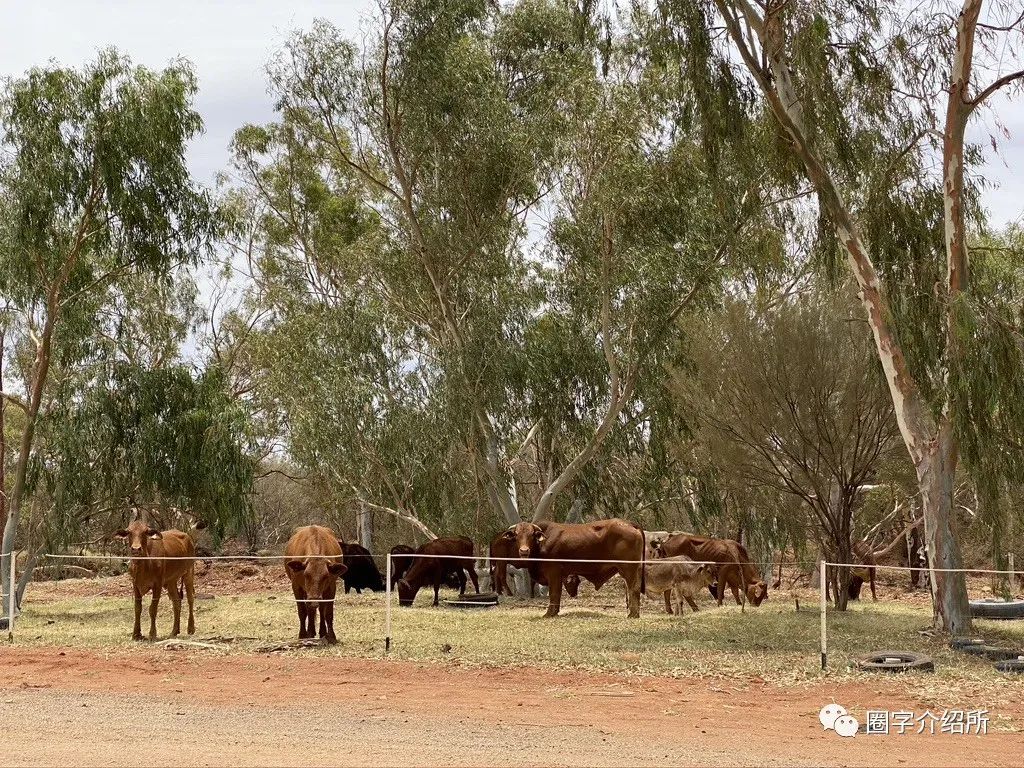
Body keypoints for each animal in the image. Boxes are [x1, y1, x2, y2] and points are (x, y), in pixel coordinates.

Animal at [507, 518, 643, 618]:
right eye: (517, 535)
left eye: (531, 535)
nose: (524, 551)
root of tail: (629, 524)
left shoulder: (554, 574)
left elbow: (554, 593)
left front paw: (549, 613)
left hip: (628, 569)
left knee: (633, 589)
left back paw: (632, 615)